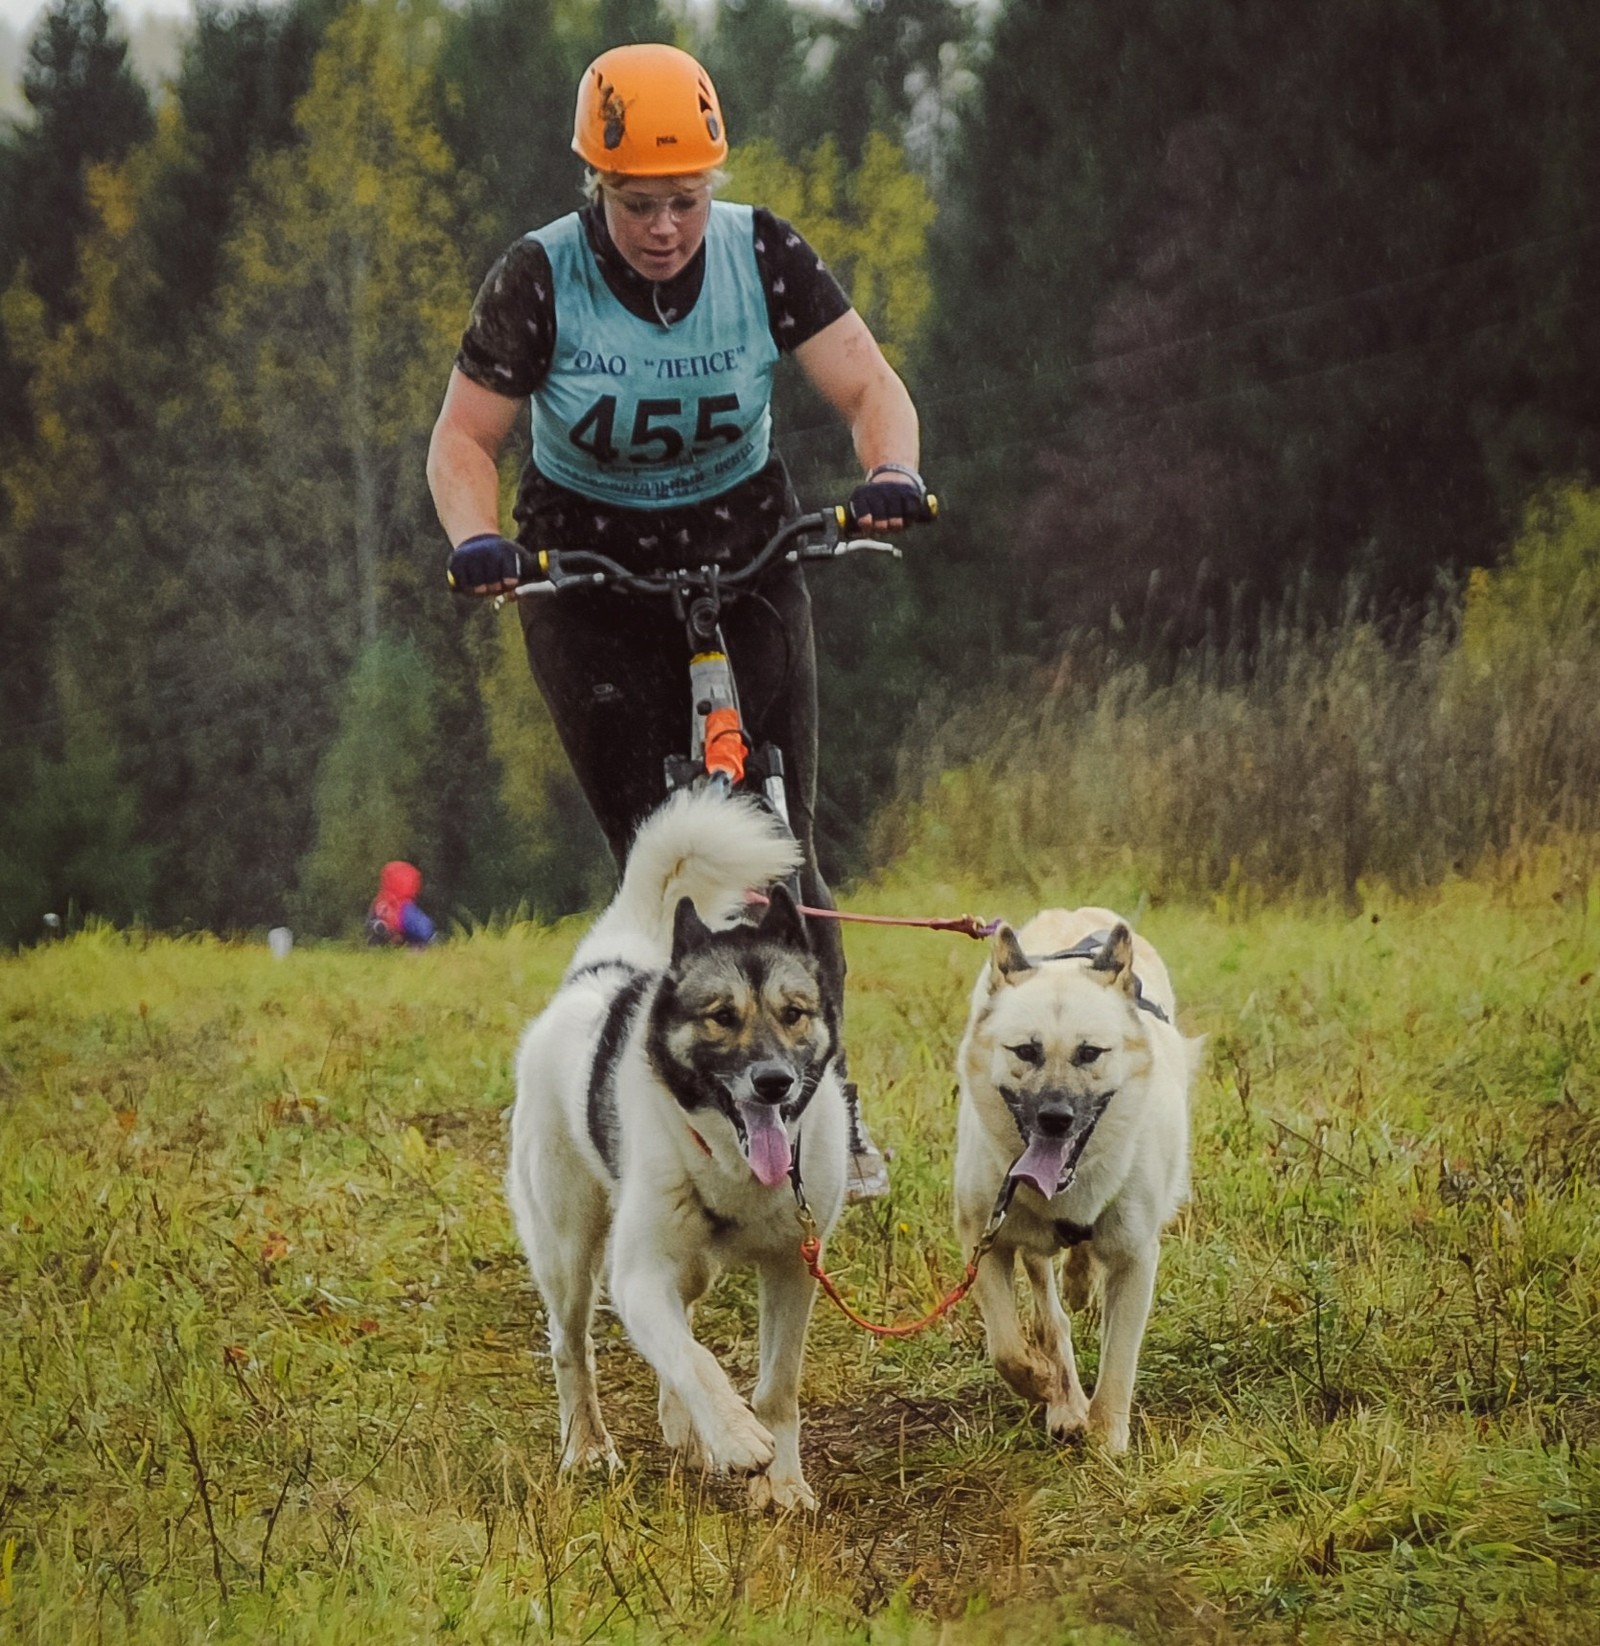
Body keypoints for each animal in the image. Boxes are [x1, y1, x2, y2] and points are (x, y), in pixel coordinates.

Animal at [510, 790, 849, 1507]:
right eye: (722, 1017)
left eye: (794, 1013)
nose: (774, 1082)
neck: (733, 1168)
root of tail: (599, 974)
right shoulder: (638, 1274)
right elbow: (693, 1357)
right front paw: (738, 1437)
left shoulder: (792, 1268)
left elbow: (778, 1386)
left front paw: (781, 1479)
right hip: (567, 1247)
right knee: (572, 1345)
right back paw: (587, 1445)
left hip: (688, 1266)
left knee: (680, 1315)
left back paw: (684, 1428)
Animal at [954, 915, 1191, 1455]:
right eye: (1025, 1051)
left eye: (1089, 1053)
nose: (1055, 1118)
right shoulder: (985, 1239)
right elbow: (1006, 1346)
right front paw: (1042, 1383)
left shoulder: (1135, 1257)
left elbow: (1119, 1356)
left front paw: (1106, 1438)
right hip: (1028, 1247)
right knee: (1049, 1312)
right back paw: (1063, 1400)